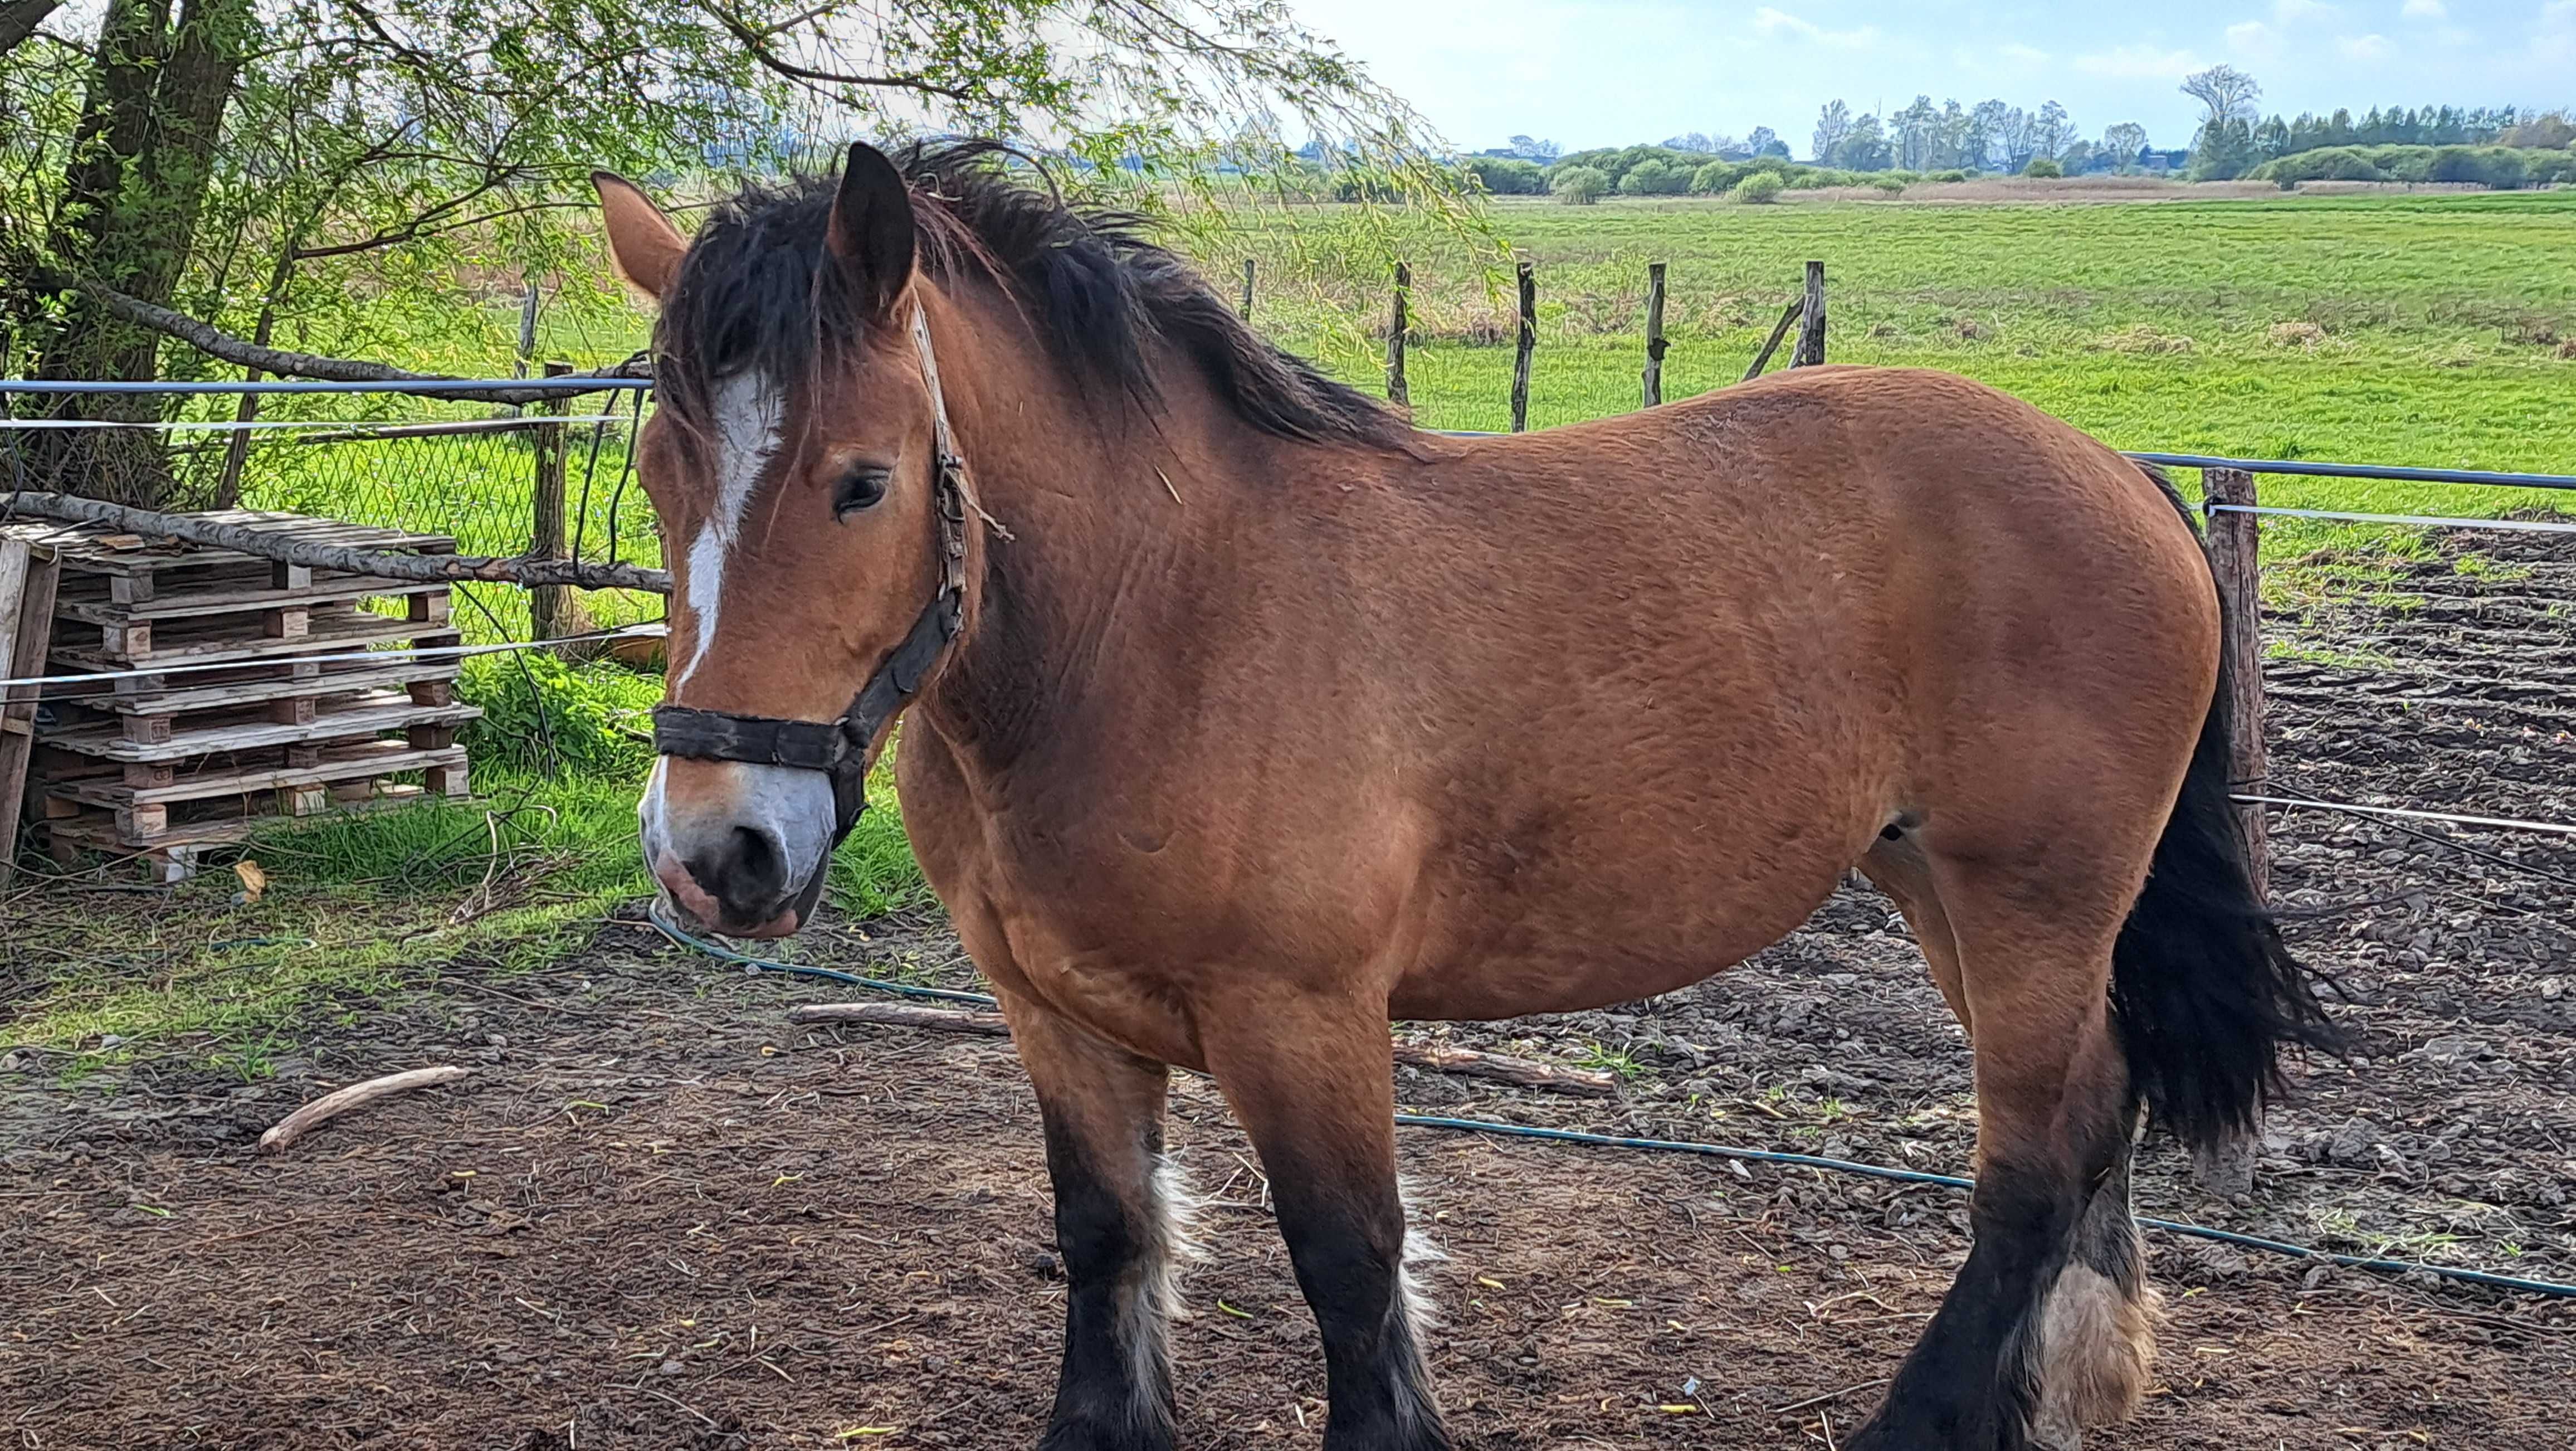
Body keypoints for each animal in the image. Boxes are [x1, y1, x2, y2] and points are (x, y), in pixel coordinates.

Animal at [597, 145, 2339, 1451]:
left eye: (863, 480)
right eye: (662, 477)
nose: (716, 848)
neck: (1158, 624)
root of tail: (2120, 474)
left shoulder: (1302, 1017)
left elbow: (1350, 1264)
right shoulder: (1053, 1013)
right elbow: (1108, 1235)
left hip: (2031, 897)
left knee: (2031, 1162)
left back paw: (1929, 1421)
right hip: (1938, 886)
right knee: (2090, 1114)